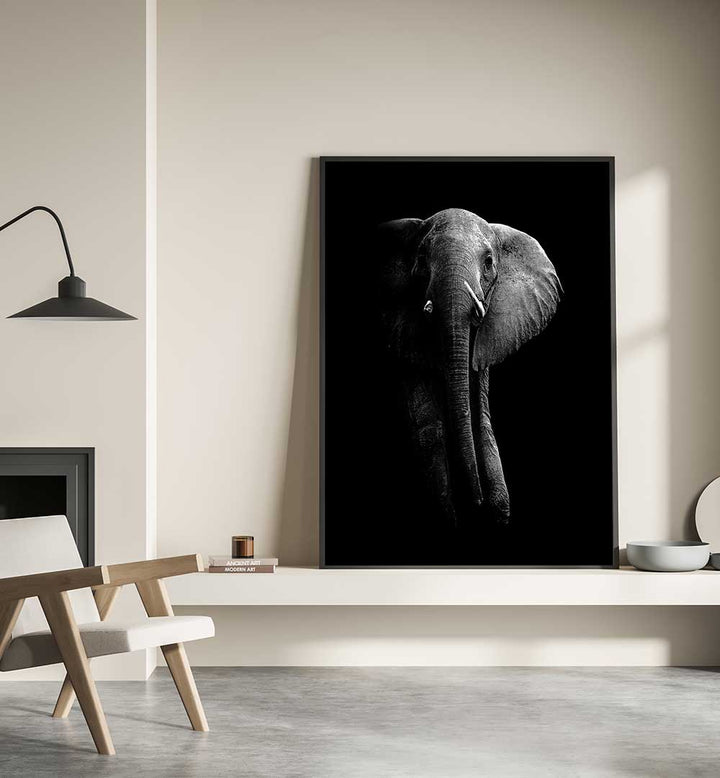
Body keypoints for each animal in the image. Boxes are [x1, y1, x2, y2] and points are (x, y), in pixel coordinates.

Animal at [375, 208, 561, 527]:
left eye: (488, 262)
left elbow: (479, 409)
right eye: (421, 258)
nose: (476, 504)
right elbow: (427, 422)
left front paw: (496, 510)